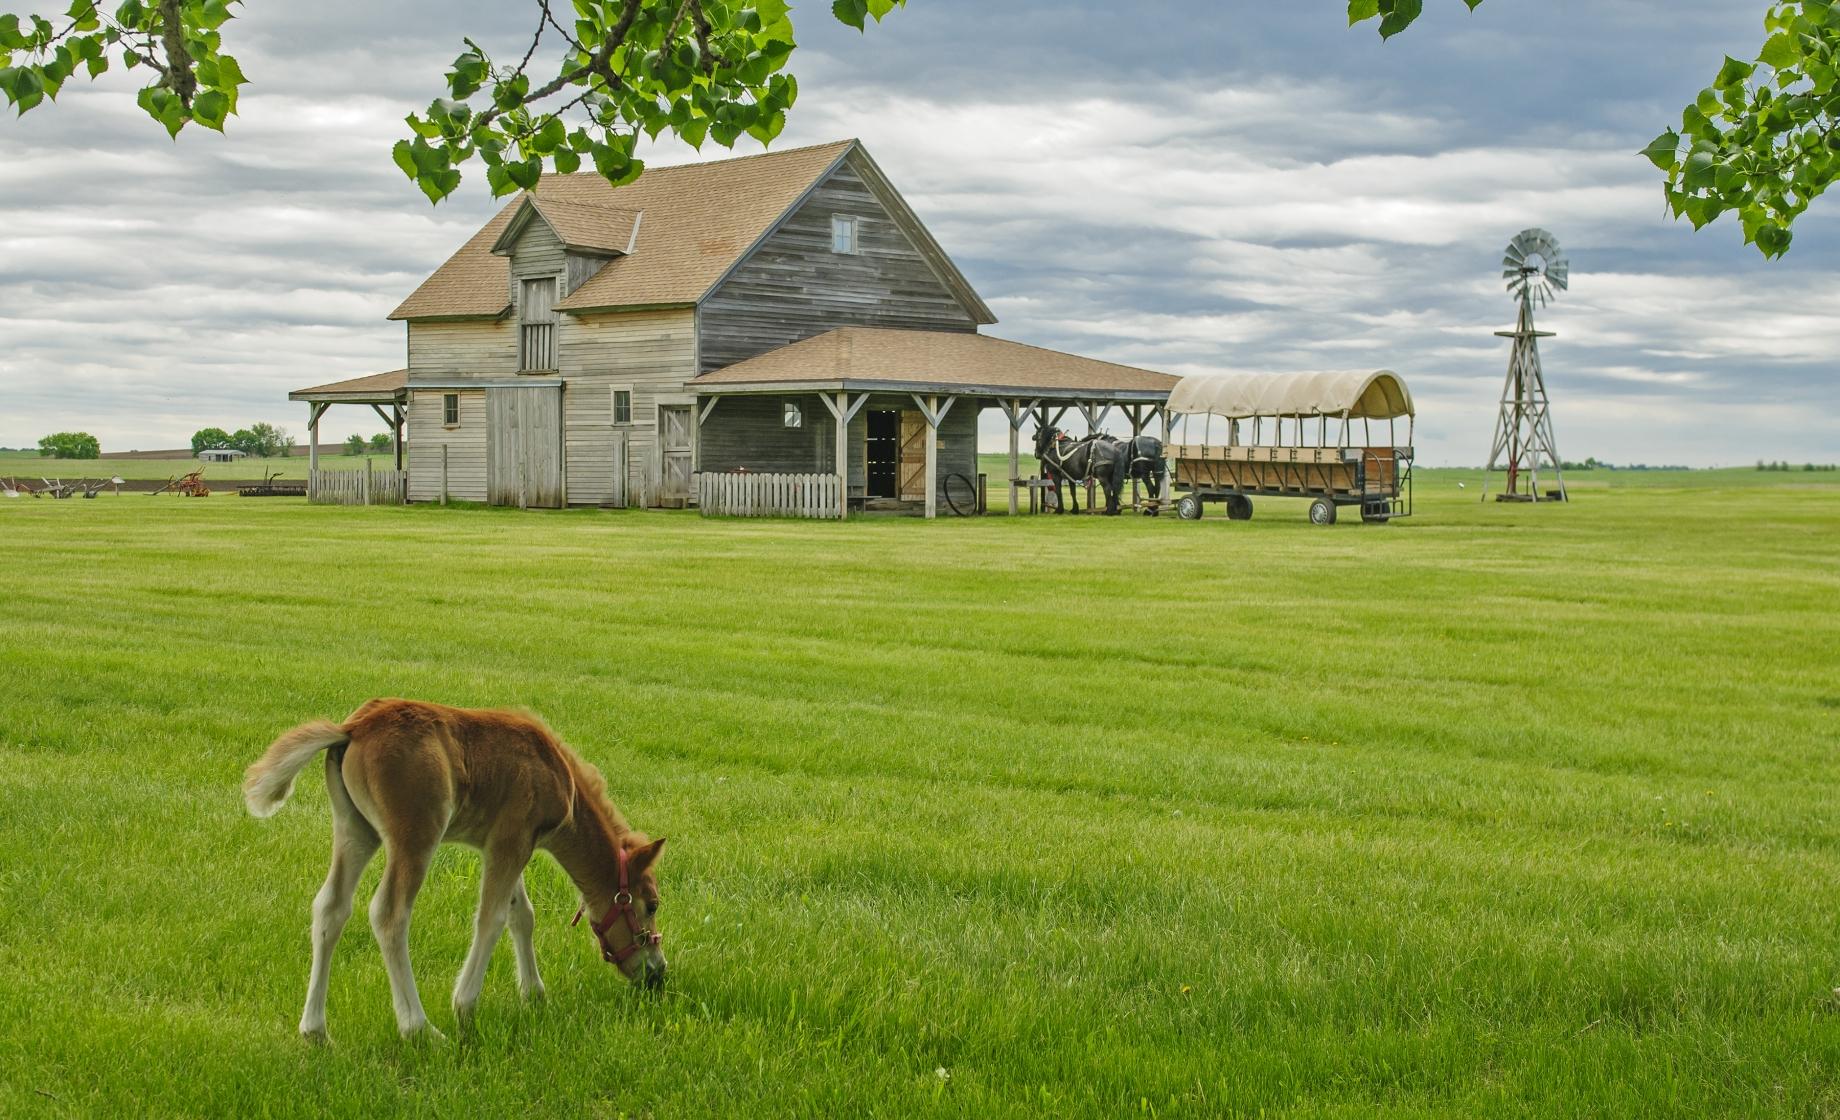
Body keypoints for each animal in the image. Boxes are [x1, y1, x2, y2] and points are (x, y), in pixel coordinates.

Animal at [241, 698, 666, 1037]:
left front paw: (534, 995)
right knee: (389, 914)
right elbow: (492, 917)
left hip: (355, 829)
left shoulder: (506, 845)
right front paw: (465, 1006)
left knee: (331, 907)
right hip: (416, 834)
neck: (560, 777)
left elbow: (522, 915)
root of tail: (352, 728)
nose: (657, 972)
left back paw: (315, 1031)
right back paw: (419, 1029)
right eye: (652, 904)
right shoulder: (512, 840)